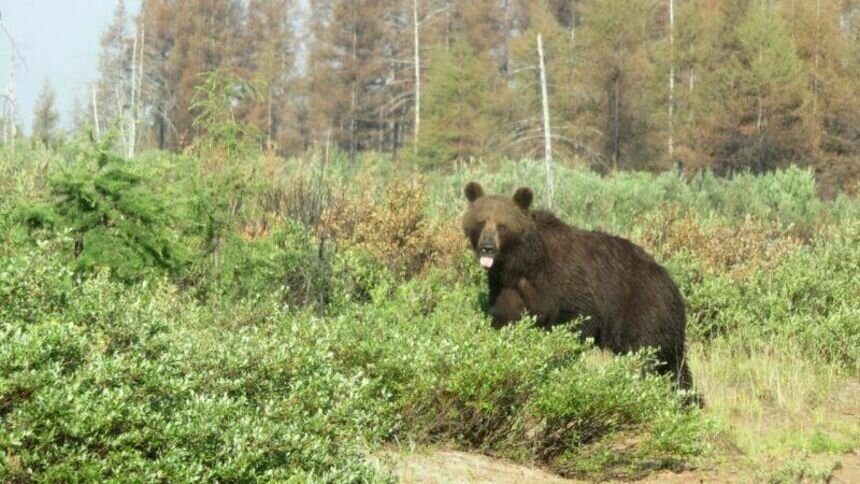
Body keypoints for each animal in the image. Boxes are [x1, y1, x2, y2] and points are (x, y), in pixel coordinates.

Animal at [460, 182, 696, 394]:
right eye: (480, 222)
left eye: (502, 225)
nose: (487, 248)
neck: (521, 263)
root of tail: (671, 283)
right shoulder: (506, 288)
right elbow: (506, 319)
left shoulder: (566, 282)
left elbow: (576, 320)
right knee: (675, 367)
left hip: (642, 309)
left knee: (647, 353)